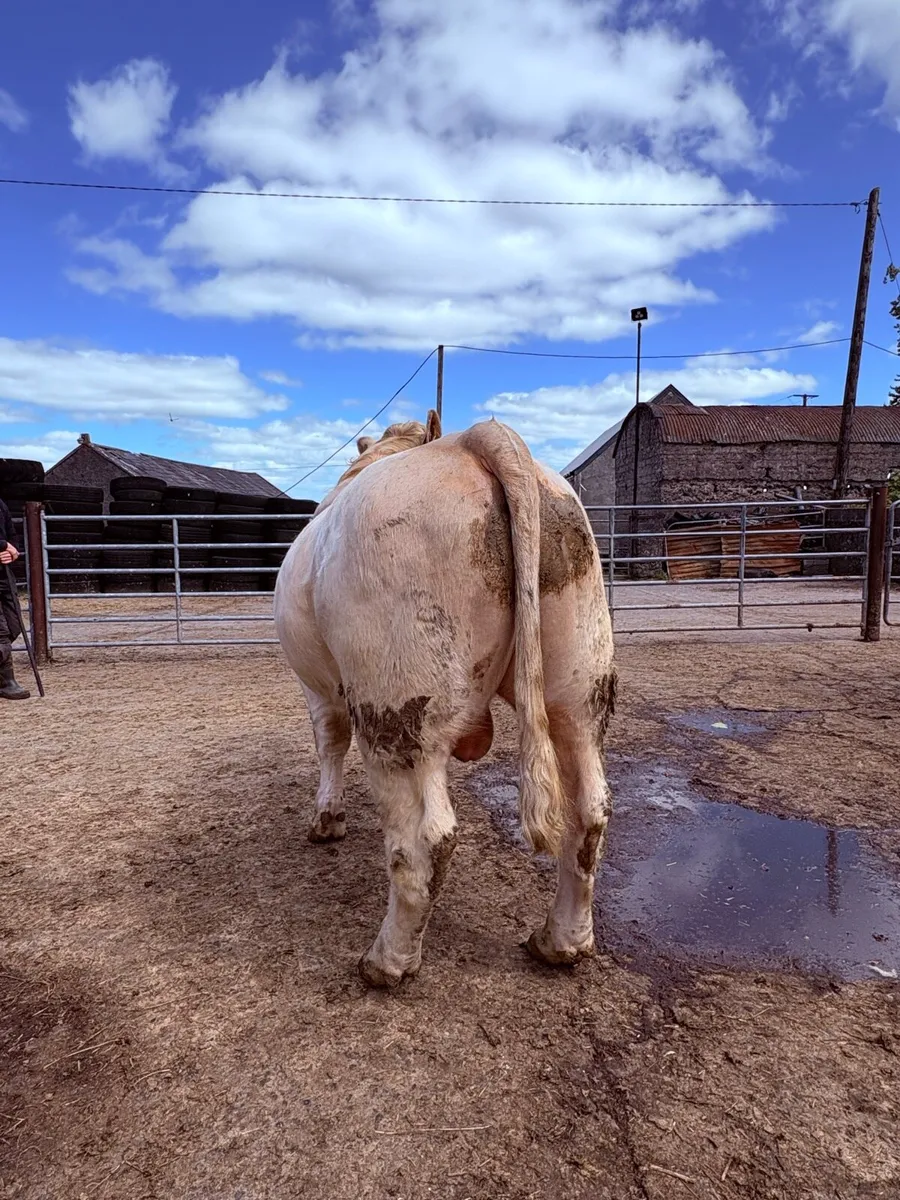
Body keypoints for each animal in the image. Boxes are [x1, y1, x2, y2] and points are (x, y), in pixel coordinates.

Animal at [273, 412, 616, 988]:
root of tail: (475, 437)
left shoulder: (318, 686)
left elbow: (329, 742)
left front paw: (327, 820)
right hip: (577, 687)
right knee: (587, 813)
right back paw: (559, 942)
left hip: (396, 711)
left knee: (423, 843)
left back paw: (387, 962)